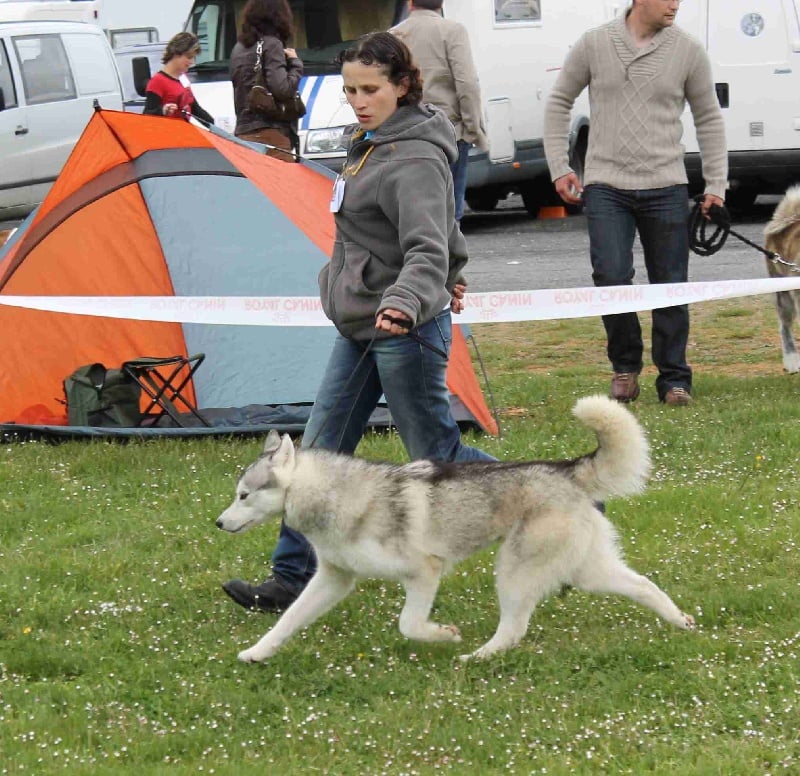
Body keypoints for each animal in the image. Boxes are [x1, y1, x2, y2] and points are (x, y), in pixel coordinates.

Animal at [216, 395, 695, 663]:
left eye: (243, 495)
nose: (218, 522)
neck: (340, 497)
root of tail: (566, 469)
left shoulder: (424, 572)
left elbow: (409, 624)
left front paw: (443, 635)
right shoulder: (333, 580)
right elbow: (287, 621)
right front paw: (257, 652)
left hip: (514, 572)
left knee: (513, 628)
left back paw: (476, 656)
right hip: (586, 570)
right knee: (644, 585)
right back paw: (680, 621)